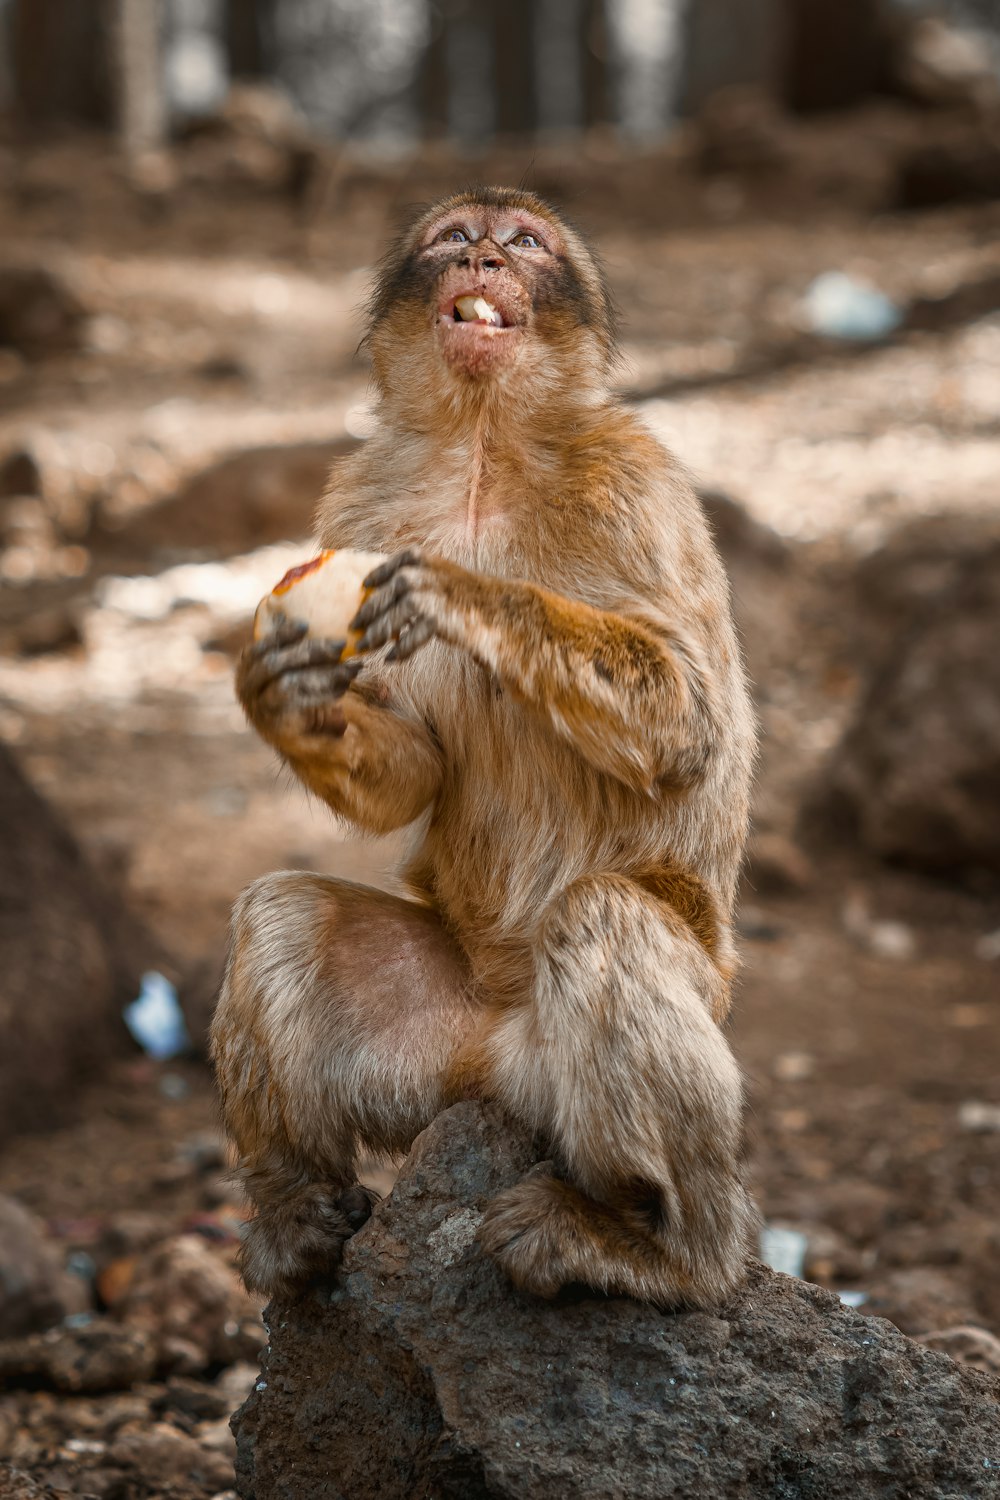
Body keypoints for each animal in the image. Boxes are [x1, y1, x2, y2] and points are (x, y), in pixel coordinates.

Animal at [212, 187, 758, 1308]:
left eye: (524, 244)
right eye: (455, 238)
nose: (484, 258)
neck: (479, 445)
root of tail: (502, 1060)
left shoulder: (639, 484)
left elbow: (690, 727)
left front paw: (466, 597)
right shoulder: (357, 497)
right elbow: (415, 768)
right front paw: (283, 695)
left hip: (651, 1026)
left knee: (607, 916)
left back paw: (668, 1252)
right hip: (431, 1051)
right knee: (281, 913)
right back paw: (294, 1208)